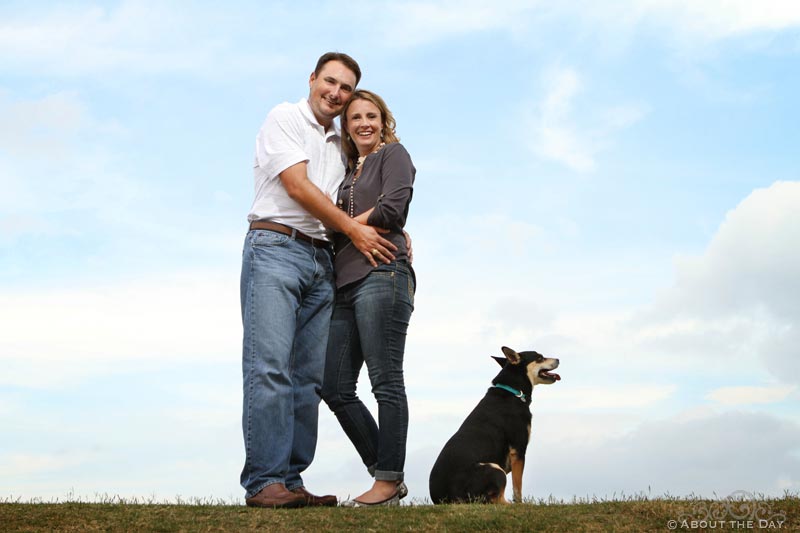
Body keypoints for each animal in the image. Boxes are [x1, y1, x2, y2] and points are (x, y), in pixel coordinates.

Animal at [428, 344, 560, 502]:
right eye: (540, 358)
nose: (558, 359)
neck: (514, 392)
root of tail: (446, 499)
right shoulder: (518, 450)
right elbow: (517, 486)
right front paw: (521, 504)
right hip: (494, 469)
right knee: (497, 501)